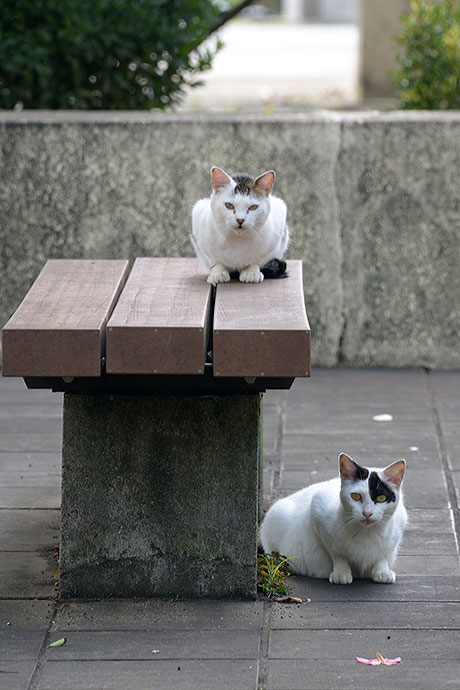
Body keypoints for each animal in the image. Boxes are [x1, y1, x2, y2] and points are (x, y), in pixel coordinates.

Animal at [260, 454, 408, 584]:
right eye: (355, 496)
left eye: (381, 498)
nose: (367, 513)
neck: (367, 533)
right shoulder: (318, 509)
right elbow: (337, 554)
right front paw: (341, 573)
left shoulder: (398, 525)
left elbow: (382, 554)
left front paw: (382, 570)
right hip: (276, 514)